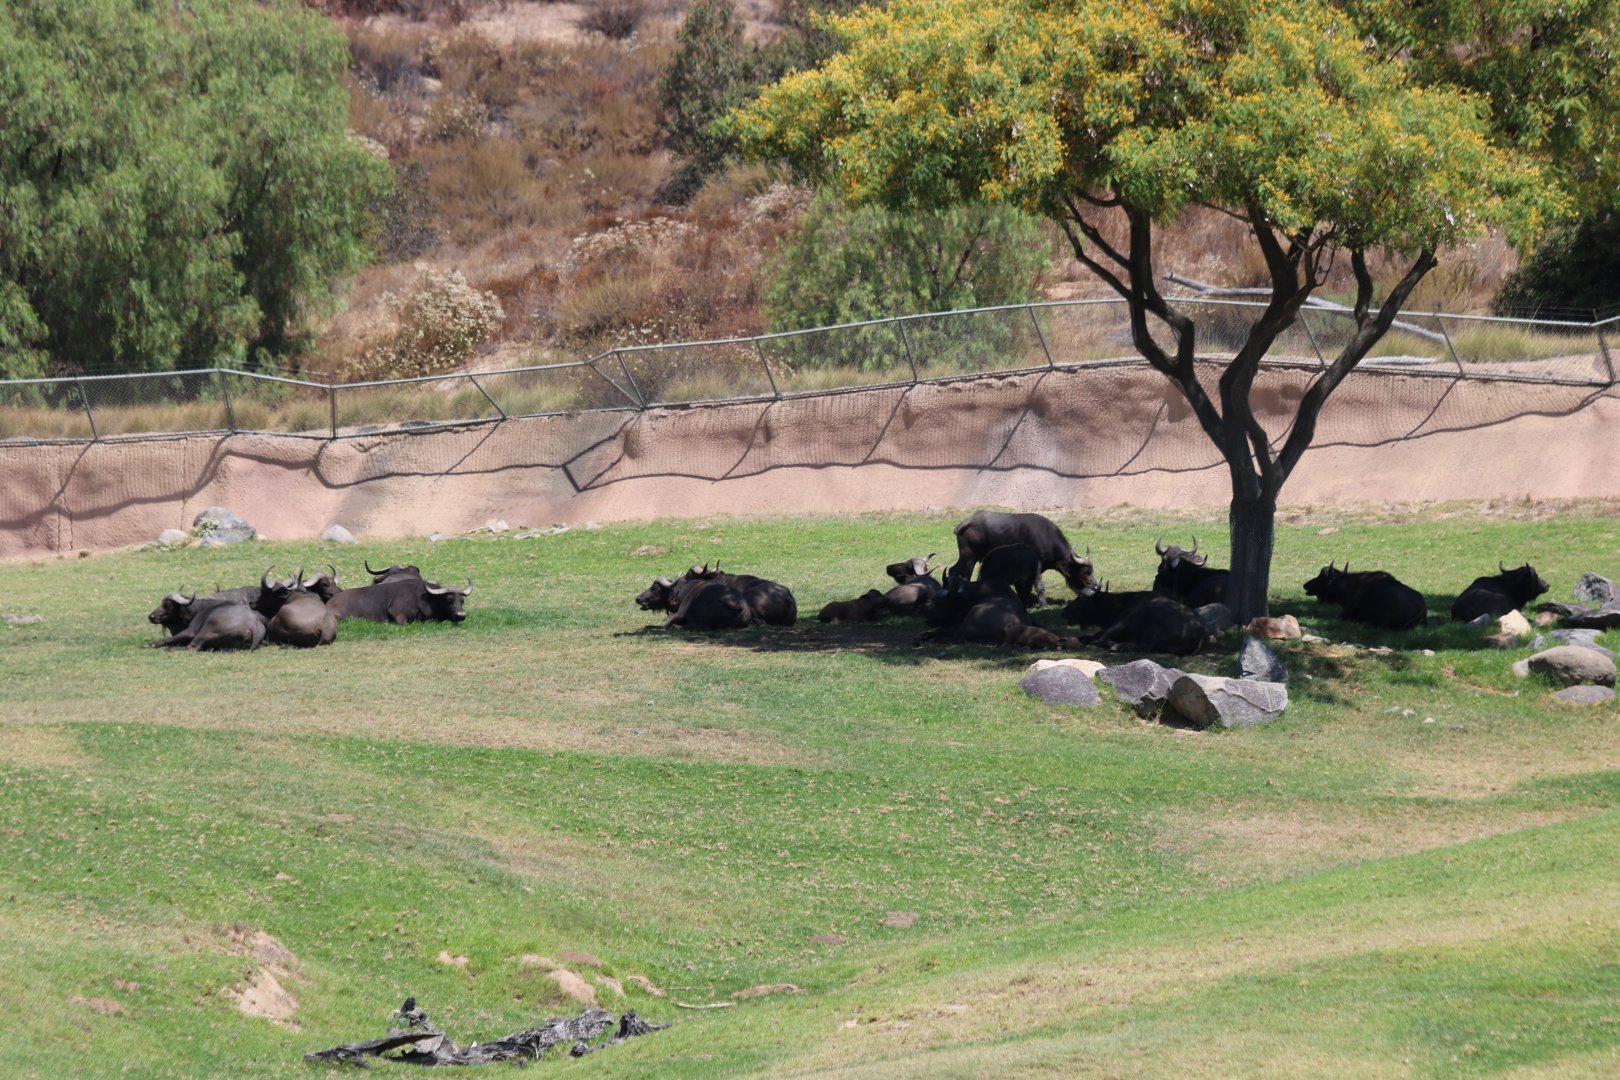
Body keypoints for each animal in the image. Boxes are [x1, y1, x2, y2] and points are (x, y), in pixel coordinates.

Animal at [948, 511, 1097, 604]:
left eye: (1092, 571)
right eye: (1085, 572)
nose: (1096, 586)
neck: (1046, 538)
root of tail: (966, 522)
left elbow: (1029, 586)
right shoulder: (1037, 565)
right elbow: (1039, 586)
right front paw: (1041, 603)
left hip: (966, 557)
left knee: (952, 570)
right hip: (969, 557)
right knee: (963, 575)